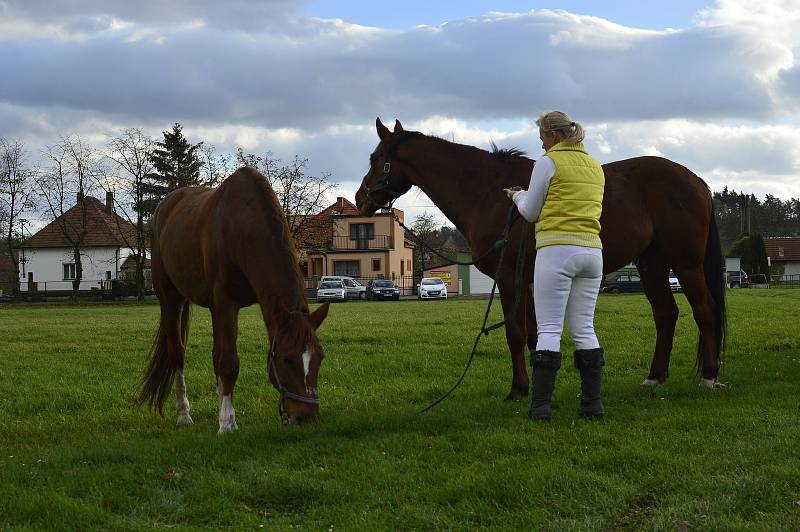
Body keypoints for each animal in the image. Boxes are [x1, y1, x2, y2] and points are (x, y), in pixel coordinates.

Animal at [139, 166, 330, 432]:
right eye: (287, 358)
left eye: (320, 357)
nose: (307, 417)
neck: (242, 226)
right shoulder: (226, 303)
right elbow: (229, 362)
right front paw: (227, 422)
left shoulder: (233, 305)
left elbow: (221, 358)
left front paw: (223, 412)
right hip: (171, 300)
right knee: (178, 354)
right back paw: (183, 414)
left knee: (213, 354)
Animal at [356, 118, 724, 402]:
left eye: (375, 157)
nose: (360, 199)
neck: (488, 192)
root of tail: (696, 181)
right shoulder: (531, 279)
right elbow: (534, 335)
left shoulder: (509, 277)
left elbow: (515, 333)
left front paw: (518, 390)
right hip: (652, 265)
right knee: (666, 314)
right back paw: (655, 376)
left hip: (686, 264)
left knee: (704, 312)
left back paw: (708, 376)